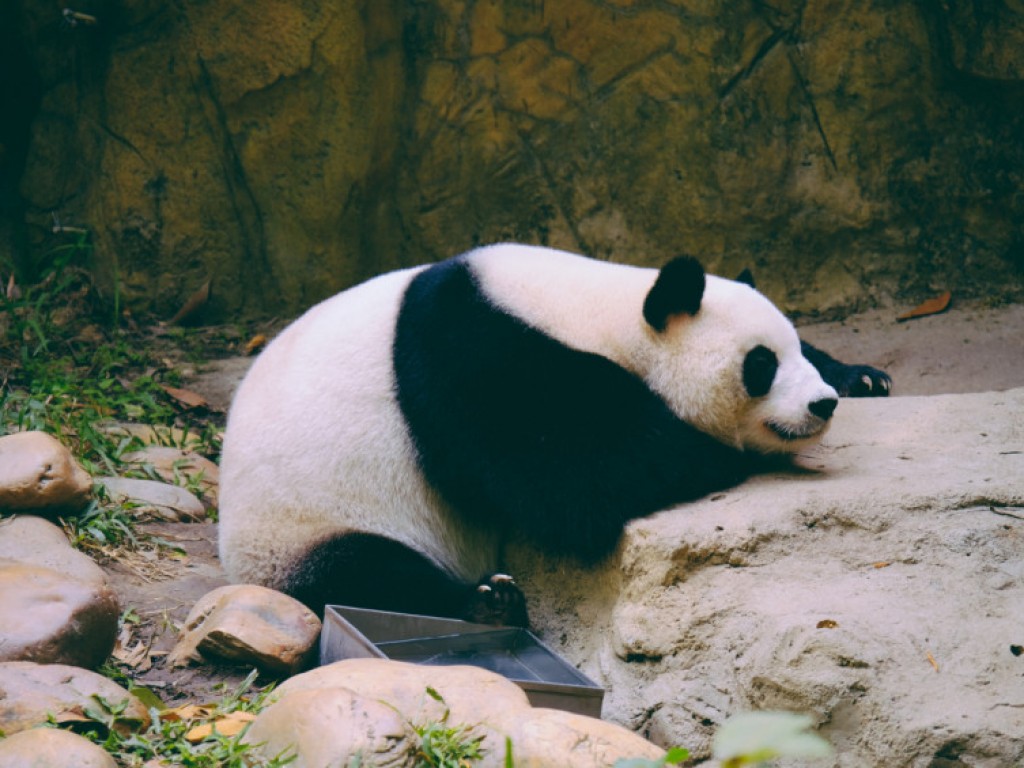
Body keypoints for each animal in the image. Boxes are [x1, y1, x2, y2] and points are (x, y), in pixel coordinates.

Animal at [222, 243, 888, 626]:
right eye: (760, 365)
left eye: (794, 346)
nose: (820, 404)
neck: (596, 310)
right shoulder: (477, 360)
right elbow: (570, 487)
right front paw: (710, 450)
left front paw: (862, 377)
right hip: (297, 529)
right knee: (366, 575)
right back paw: (486, 605)